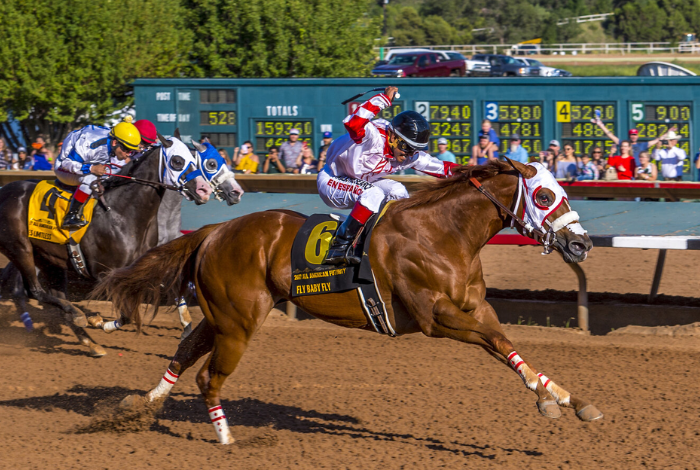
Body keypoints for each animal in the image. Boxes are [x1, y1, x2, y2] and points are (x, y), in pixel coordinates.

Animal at [93, 161, 600, 444]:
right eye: (545, 195)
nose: (581, 244)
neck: (443, 233)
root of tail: (213, 230)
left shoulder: (475, 308)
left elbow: (504, 343)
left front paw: (566, 398)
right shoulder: (435, 317)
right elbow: (493, 342)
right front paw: (552, 399)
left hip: (223, 314)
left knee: (185, 350)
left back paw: (141, 406)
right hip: (238, 322)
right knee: (207, 377)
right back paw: (226, 438)